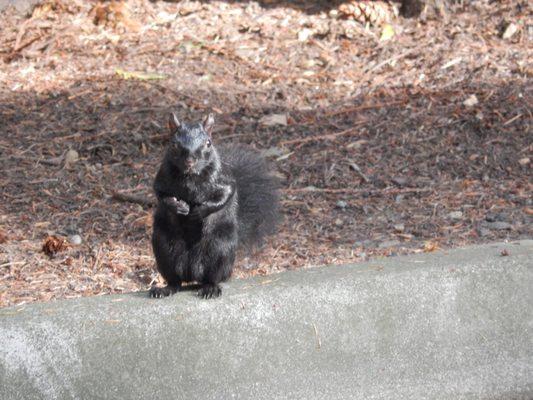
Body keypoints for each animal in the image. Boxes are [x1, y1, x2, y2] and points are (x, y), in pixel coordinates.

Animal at [149, 111, 278, 298]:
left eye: (208, 143)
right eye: (173, 144)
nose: (190, 161)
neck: (190, 177)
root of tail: (192, 272)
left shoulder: (224, 180)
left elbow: (224, 196)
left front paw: (199, 211)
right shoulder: (162, 178)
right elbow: (161, 195)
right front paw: (179, 206)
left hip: (220, 248)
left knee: (213, 277)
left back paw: (210, 288)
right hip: (164, 249)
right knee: (175, 280)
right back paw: (165, 289)